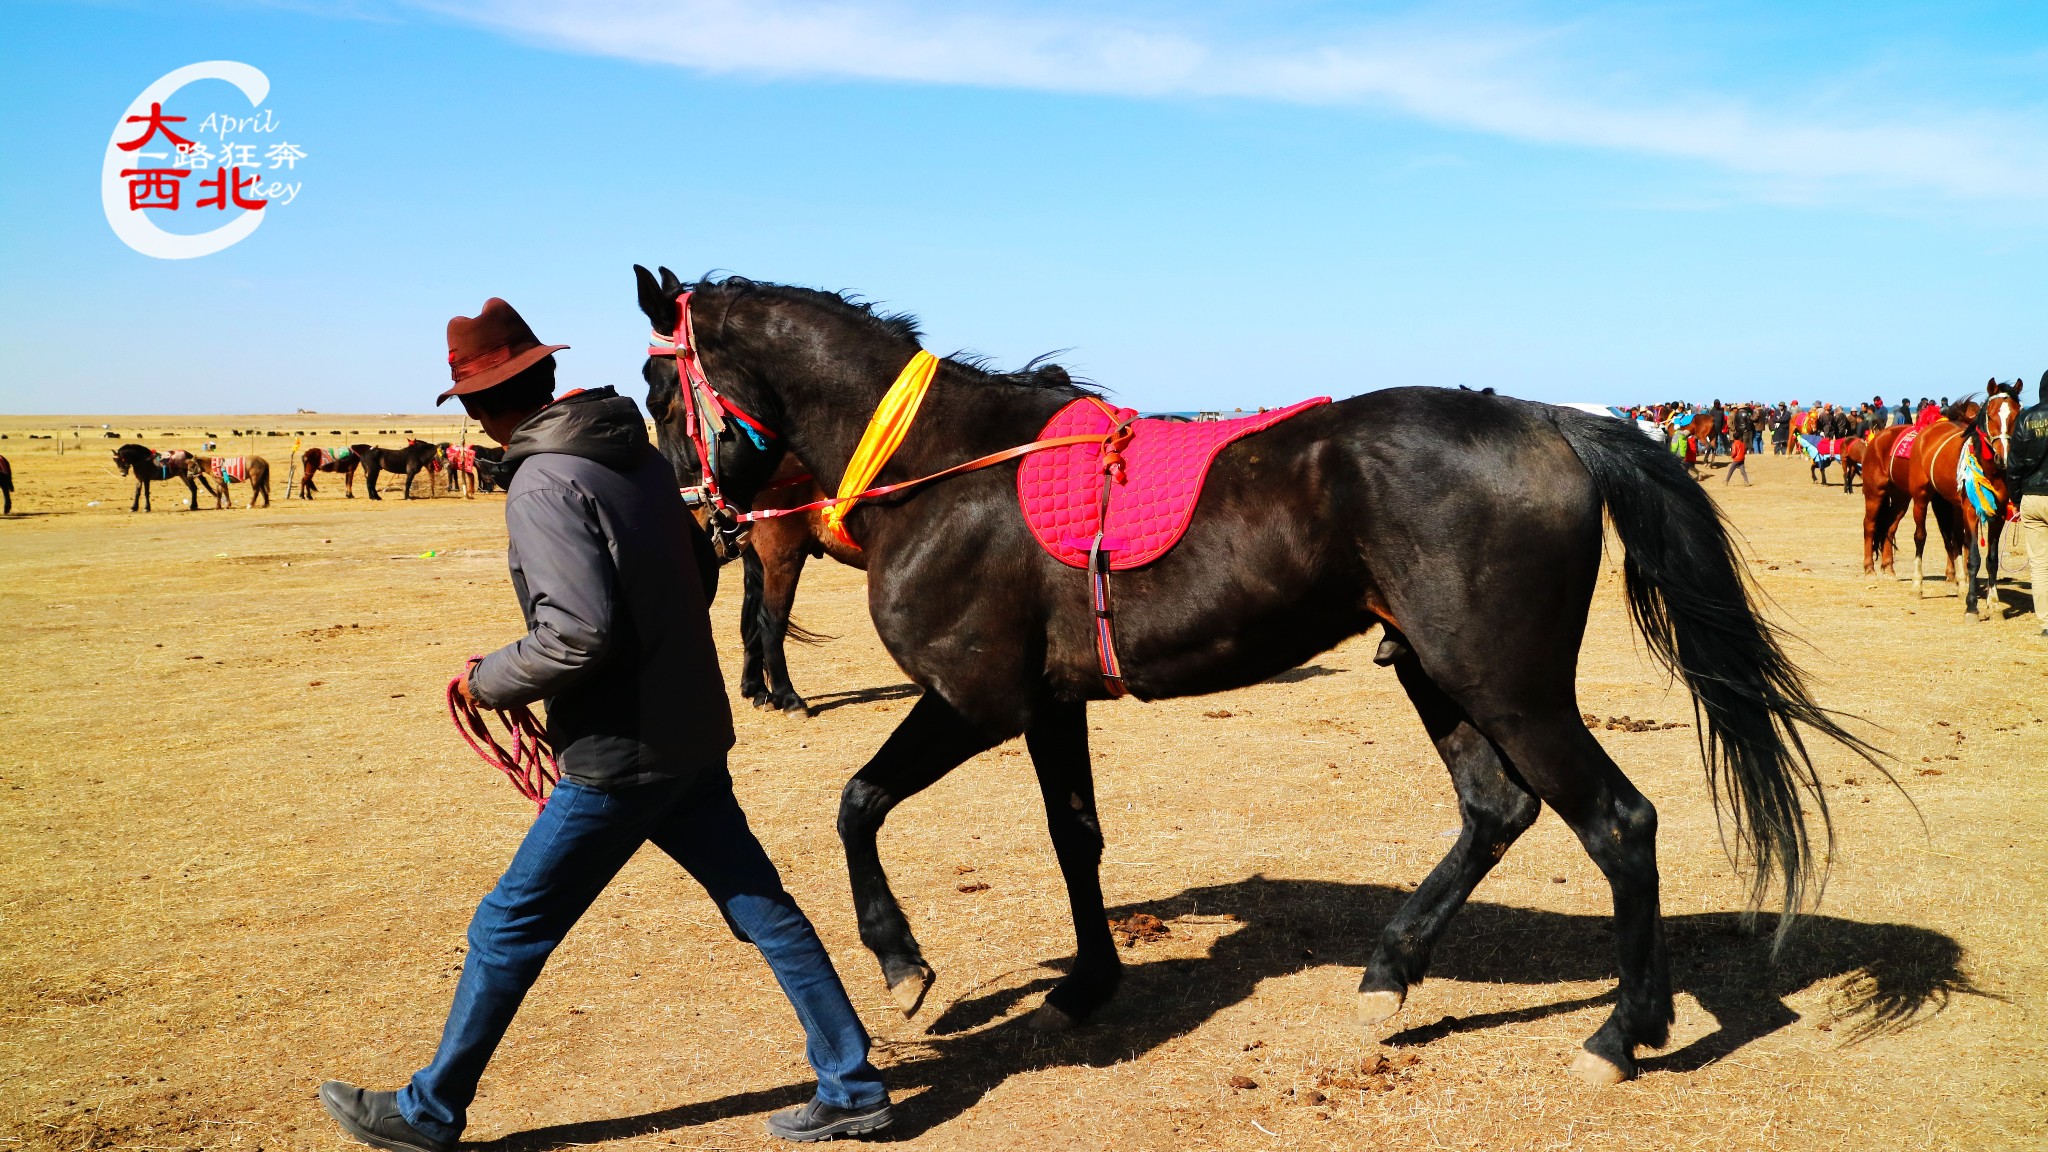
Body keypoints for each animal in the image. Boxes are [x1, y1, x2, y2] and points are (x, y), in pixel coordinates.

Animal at [630, 264, 1875, 1082]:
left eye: (651, 392)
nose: (695, 525)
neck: (950, 471)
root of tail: (1545, 421)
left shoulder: (971, 703)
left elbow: (856, 803)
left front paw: (900, 961)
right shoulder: (1046, 706)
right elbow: (1074, 838)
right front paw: (1086, 984)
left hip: (1505, 683)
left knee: (1615, 822)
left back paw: (1622, 1032)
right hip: (1435, 672)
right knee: (1496, 810)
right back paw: (1390, 973)